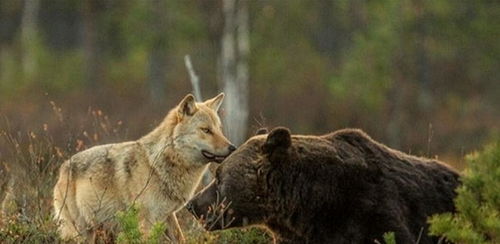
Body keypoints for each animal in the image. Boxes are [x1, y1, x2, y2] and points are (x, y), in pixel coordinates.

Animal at [52, 93, 234, 242]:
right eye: (206, 130)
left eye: (219, 129)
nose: (232, 148)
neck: (156, 165)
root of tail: (63, 167)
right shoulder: (145, 222)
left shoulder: (168, 216)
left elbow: (181, 238)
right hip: (80, 232)